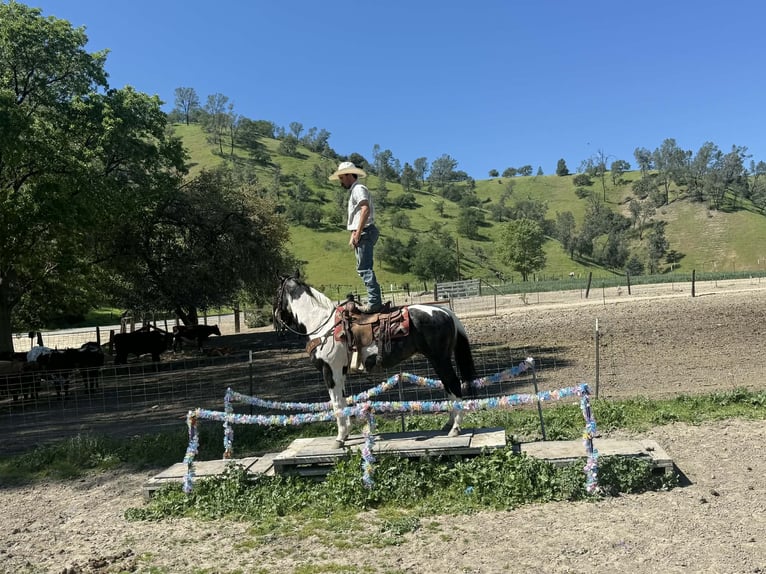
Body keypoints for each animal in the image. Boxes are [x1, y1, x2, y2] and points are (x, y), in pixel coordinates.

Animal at [274, 272, 478, 447]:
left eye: (276, 294)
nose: (275, 318)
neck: (322, 324)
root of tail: (445, 312)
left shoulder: (330, 371)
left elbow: (337, 403)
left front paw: (339, 438)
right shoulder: (341, 372)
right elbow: (344, 399)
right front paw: (346, 433)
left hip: (440, 359)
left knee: (453, 384)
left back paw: (455, 428)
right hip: (438, 361)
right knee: (447, 386)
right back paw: (448, 424)